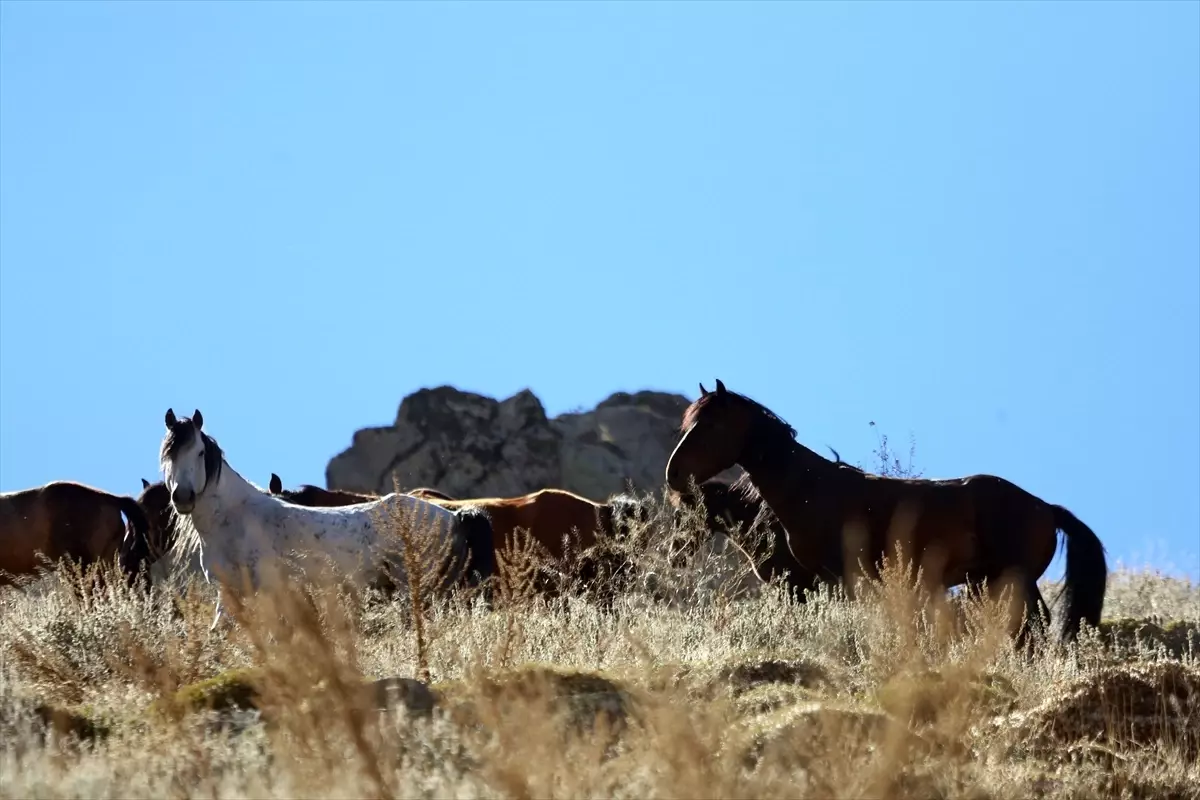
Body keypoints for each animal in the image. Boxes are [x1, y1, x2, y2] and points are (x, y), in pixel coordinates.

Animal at [159, 410, 496, 628]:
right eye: (168, 454)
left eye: (200, 452)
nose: (183, 497)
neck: (235, 518)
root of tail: (453, 516)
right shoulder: (229, 593)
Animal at [667, 381, 1104, 642]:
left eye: (711, 425)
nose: (674, 474)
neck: (810, 489)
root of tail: (1046, 508)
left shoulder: (832, 579)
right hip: (989, 584)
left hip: (1013, 582)